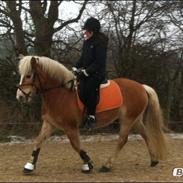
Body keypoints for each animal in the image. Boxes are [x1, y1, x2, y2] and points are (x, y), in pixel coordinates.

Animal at [16, 55, 167, 174]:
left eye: (28, 75)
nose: (20, 97)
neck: (60, 93)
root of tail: (141, 86)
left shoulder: (70, 127)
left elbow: (76, 145)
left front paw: (88, 164)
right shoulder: (50, 123)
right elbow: (38, 141)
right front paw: (29, 166)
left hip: (127, 119)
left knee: (122, 140)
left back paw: (107, 165)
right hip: (135, 119)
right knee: (145, 134)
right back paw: (154, 160)